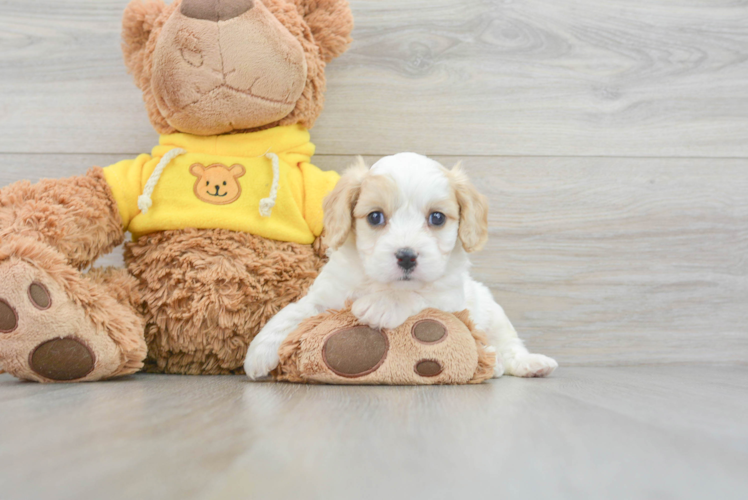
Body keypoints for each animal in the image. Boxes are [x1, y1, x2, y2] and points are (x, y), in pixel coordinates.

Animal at [245, 152, 556, 378]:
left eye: (437, 218)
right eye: (375, 217)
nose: (406, 256)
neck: (378, 281)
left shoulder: (450, 299)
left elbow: (417, 294)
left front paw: (382, 304)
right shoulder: (327, 294)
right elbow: (295, 311)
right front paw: (259, 349)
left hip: (494, 312)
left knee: (510, 346)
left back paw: (525, 363)